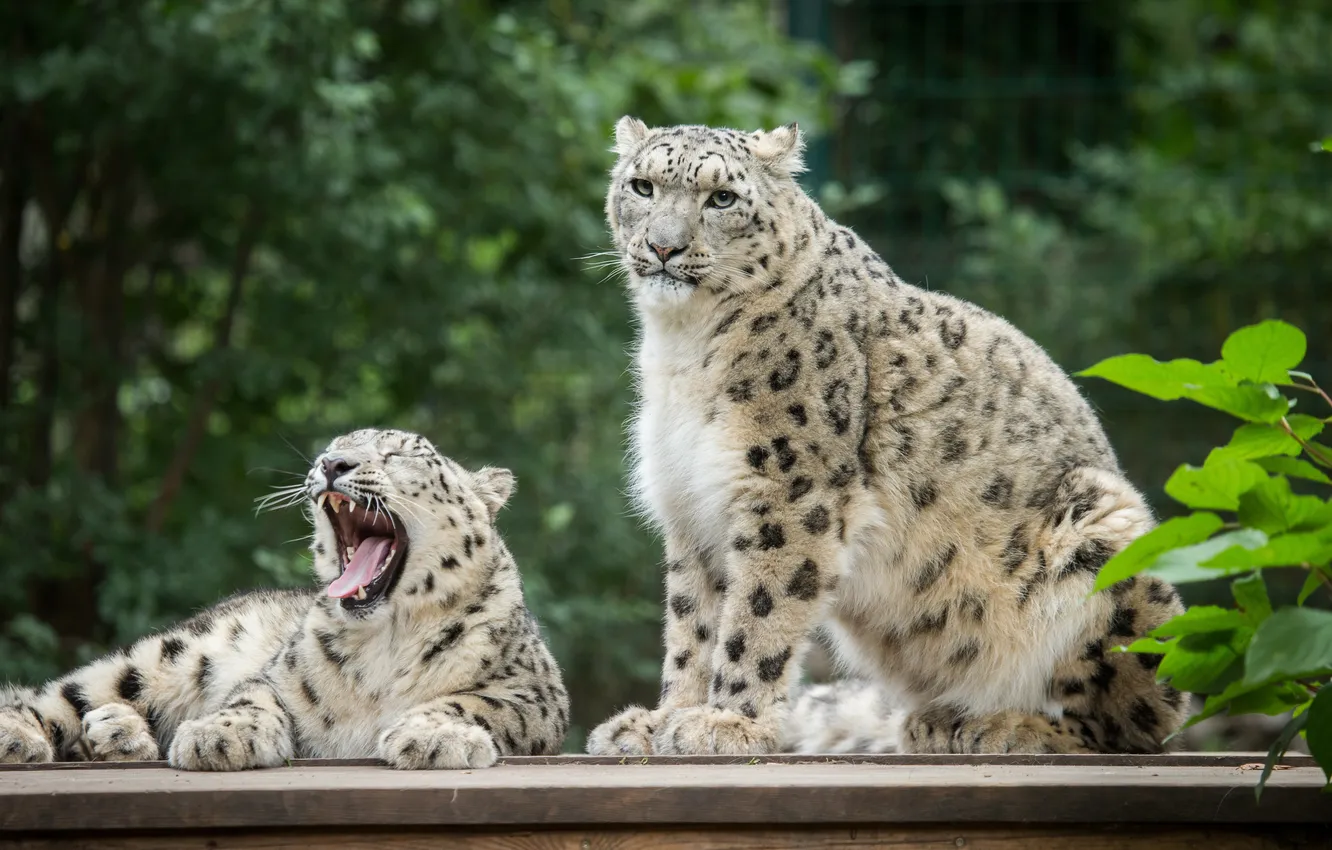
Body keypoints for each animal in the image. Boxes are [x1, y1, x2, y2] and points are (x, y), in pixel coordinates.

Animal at [0, 428, 569, 769]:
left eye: (401, 453)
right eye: (337, 444)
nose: (333, 463)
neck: (383, 642)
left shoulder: (534, 693)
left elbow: (474, 702)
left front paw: (434, 738)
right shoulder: (274, 676)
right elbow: (252, 696)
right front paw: (219, 737)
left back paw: (119, 734)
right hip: (165, 656)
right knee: (55, 695)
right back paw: (29, 737)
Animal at [585, 117, 1187, 757]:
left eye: (721, 198)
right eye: (643, 186)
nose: (663, 247)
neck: (683, 345)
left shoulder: (789, 492)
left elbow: (757, 615)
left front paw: (727, 722)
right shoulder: (690, 504)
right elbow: (692, 624)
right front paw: (660, 720)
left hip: (1109, 531)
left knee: (1136, 720)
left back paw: (1010, 727)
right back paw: (942, 720)